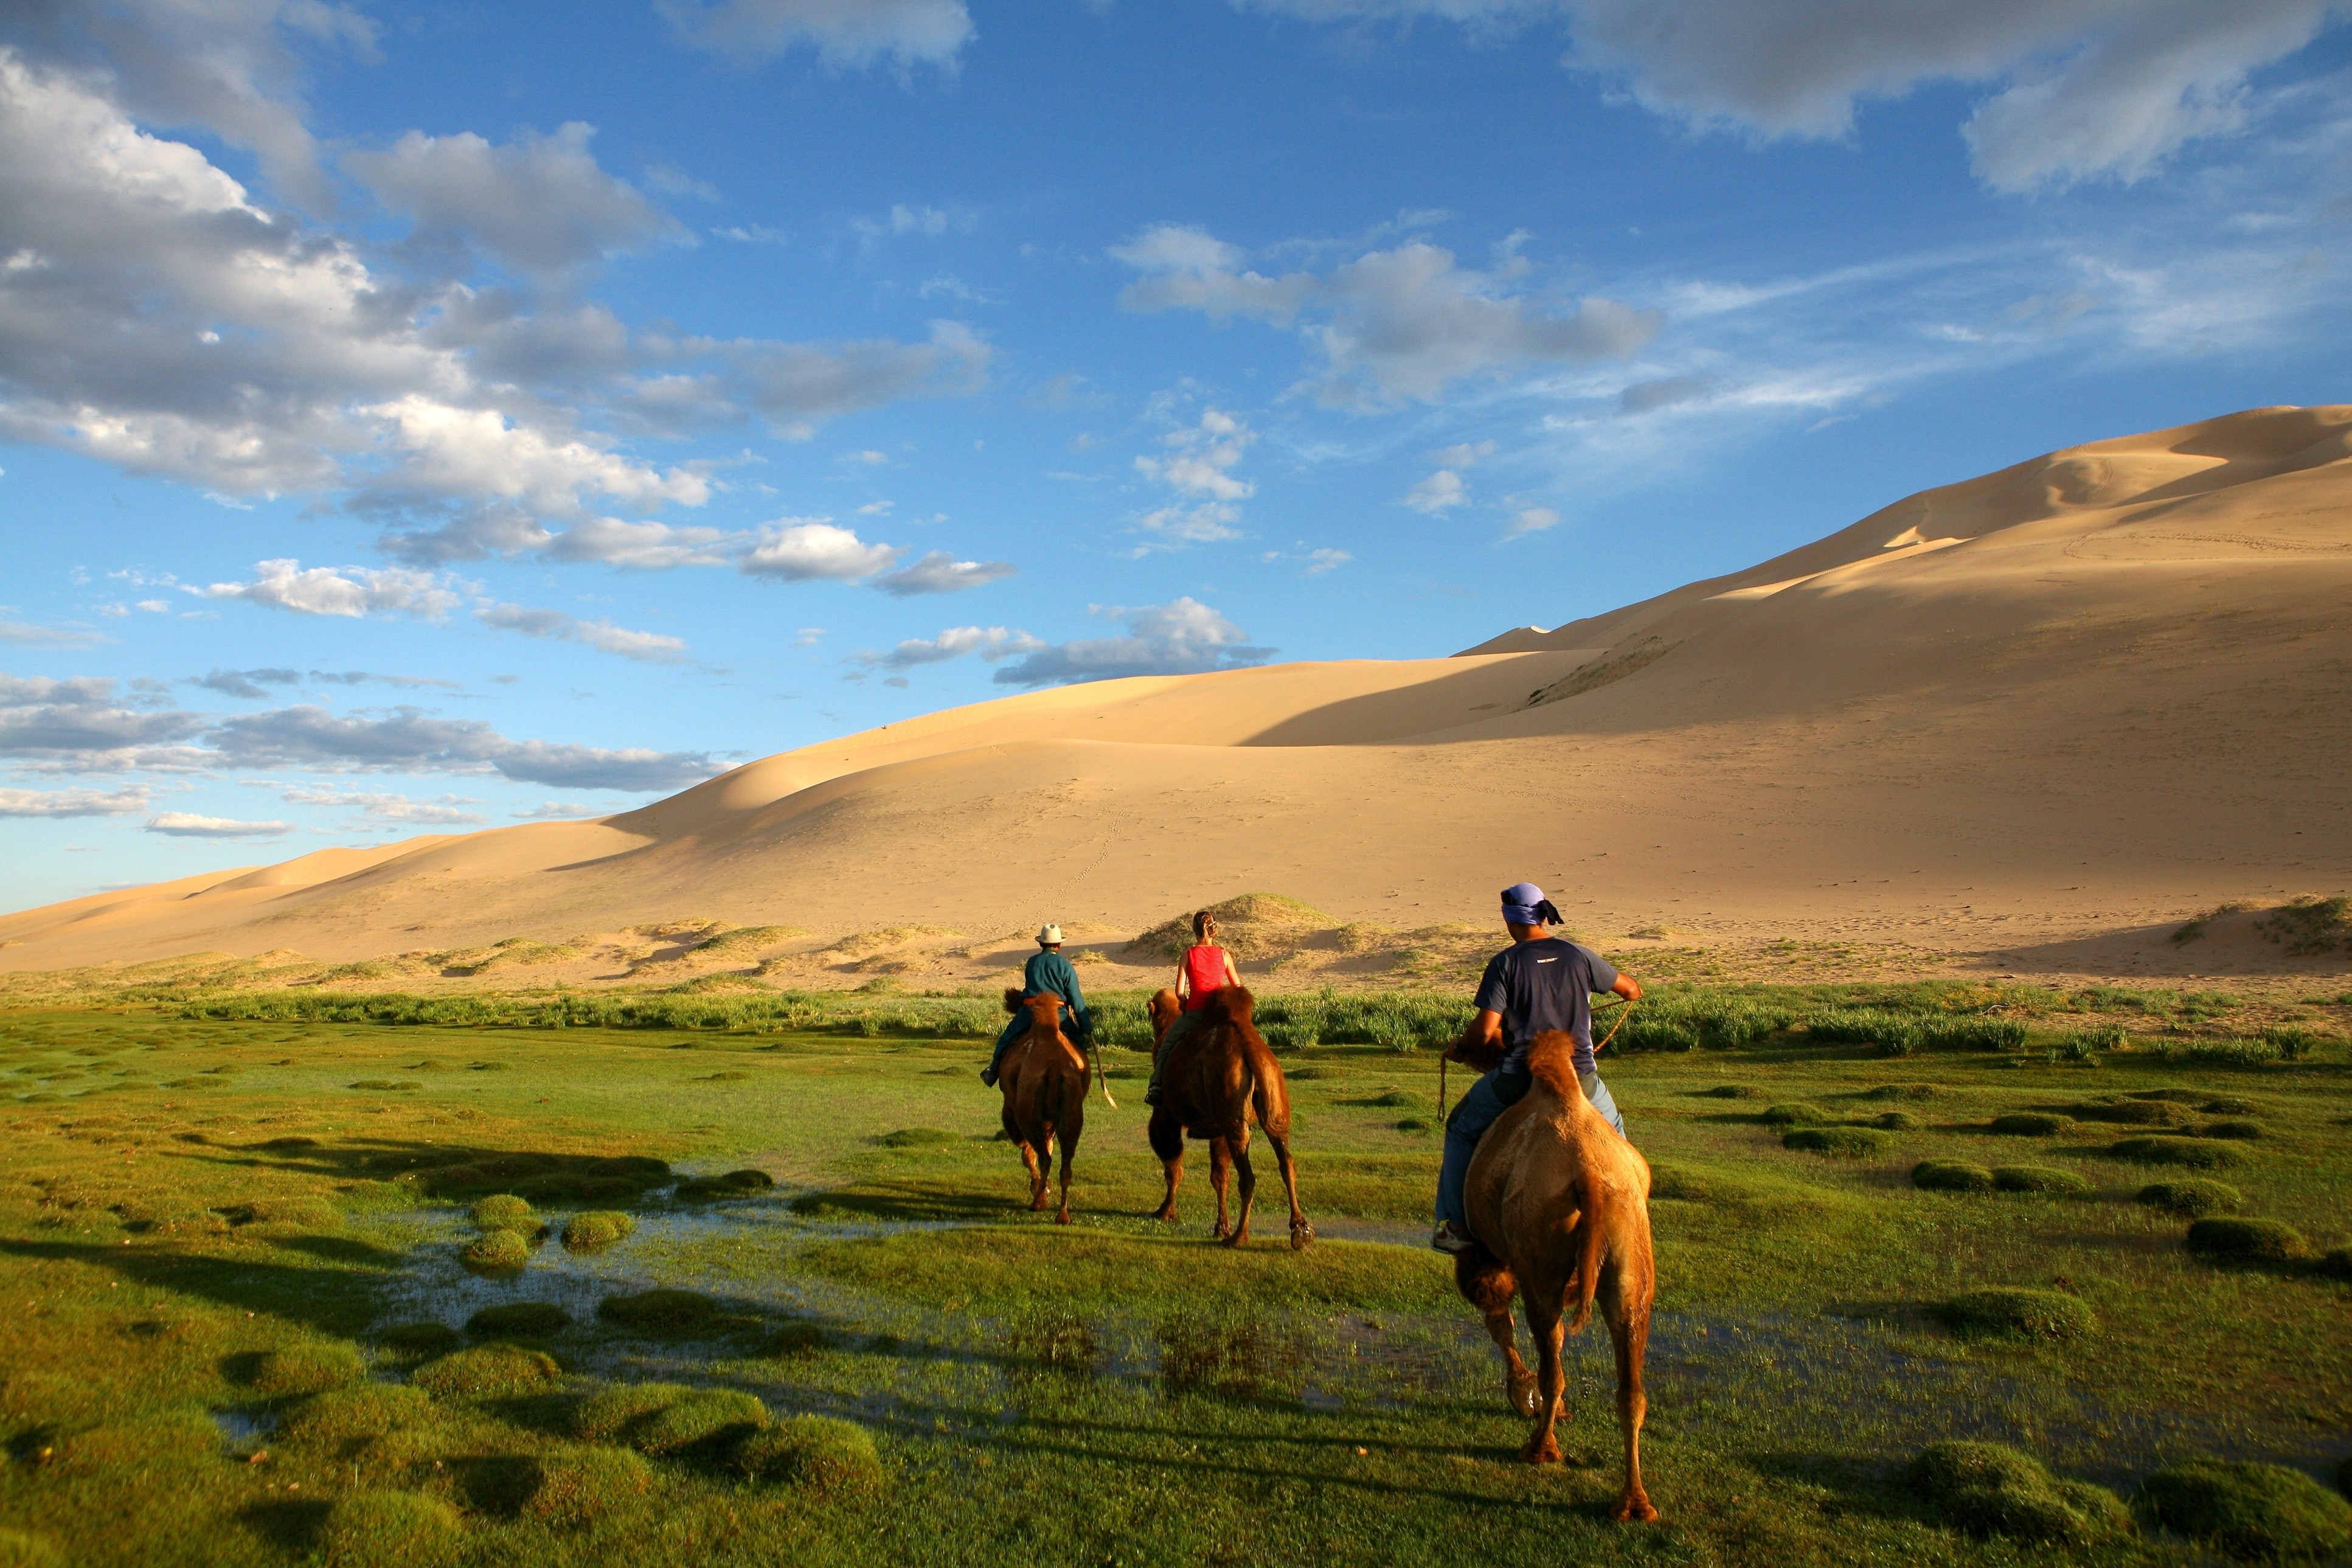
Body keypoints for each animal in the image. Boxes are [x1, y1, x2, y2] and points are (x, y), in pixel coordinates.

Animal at [1002, 992, 1091, 1222]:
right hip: (1072, 1116)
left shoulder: (1012, 1111)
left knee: (1043, 1157)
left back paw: (1039, 1202)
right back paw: (1062, 1214)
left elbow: (1027, 1152)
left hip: (1028, 1116)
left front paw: (1038, 1188)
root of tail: (1053, 1067)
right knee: (1065, 1164)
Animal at [1148, 992, 1317, 1251]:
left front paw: (1166, 1212)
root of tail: (1250, 1049)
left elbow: (1173, 1165)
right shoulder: (1218, 1130)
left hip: (1232, 1106)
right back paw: (1300, 1231)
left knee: (1247, 1176)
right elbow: (1220, 1176)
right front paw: (1220, 1227)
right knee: (1286, 1160)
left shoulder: (1166, 1115)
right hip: (1272, 1102)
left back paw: (1239, 1237)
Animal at [1449, 1029, 1656, 1523]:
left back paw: (1541, 1448)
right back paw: (1634, 1502)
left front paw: (1521, 1393)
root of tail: (1590, 1178)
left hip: (1538, 1245)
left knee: (1550, 1353)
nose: (1461, 1049)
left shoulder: (1490, 1255)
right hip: (1629, 1253)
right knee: (1630, 1381)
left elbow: (1497, 1318)